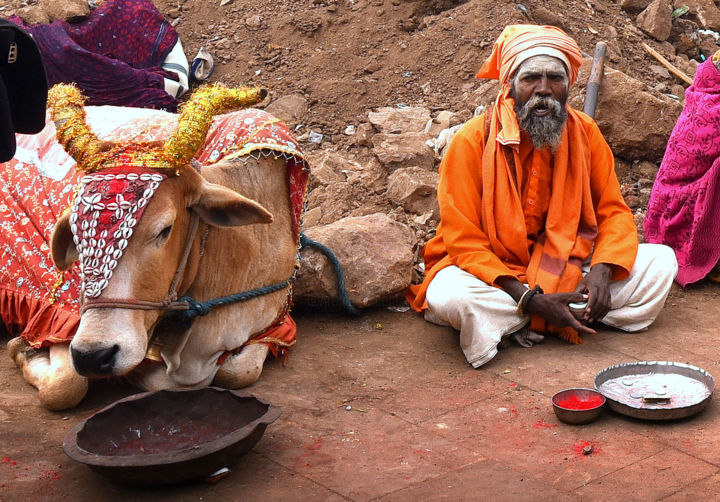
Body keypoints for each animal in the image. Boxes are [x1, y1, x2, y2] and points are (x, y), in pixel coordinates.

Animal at [0, 82, 310, 410]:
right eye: (75, 229)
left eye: (165, 229)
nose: (94, 356)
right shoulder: (59, 318)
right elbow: (64, 385)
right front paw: (23, 348)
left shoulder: (276, 324)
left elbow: (239, 370)